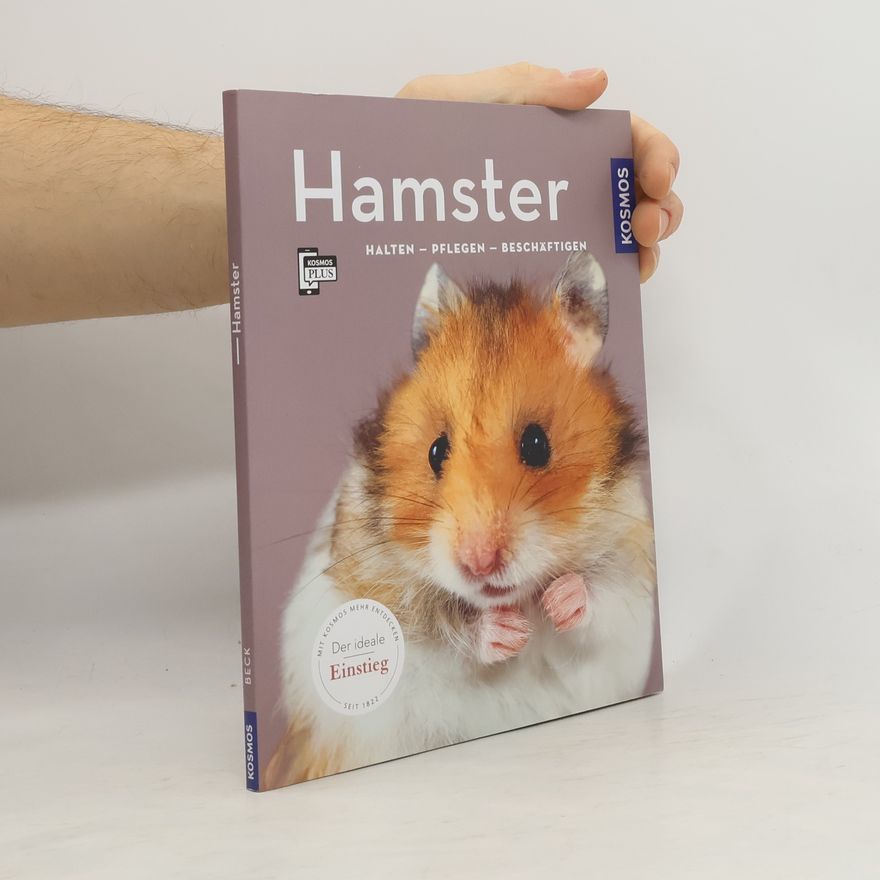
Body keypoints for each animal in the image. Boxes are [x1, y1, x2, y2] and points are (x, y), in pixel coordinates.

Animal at [265, 250, 657, 788]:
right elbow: (440, 629)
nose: (479, 563)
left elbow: (600, 599)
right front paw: (509, 633)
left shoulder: (631, 573)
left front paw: (558, 601)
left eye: (538, 444)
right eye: (436, 450)